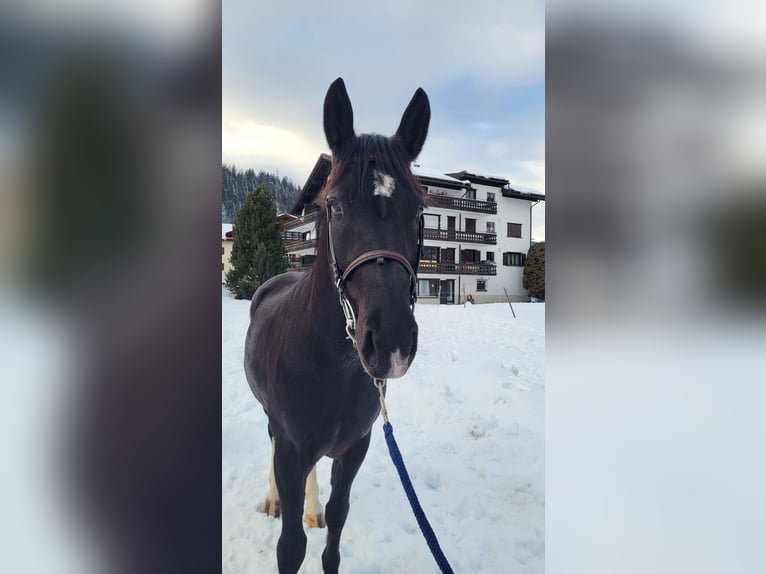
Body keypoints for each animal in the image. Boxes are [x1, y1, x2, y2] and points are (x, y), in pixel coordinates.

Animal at [248, 77, 432, 574]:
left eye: (420, 210)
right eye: (333, 206)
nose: (390, 342)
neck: (329, 364)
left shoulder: (355, 448)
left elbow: (337, 518)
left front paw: (320, 515)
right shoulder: (291, 451)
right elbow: (290, 546)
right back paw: (273, 500)